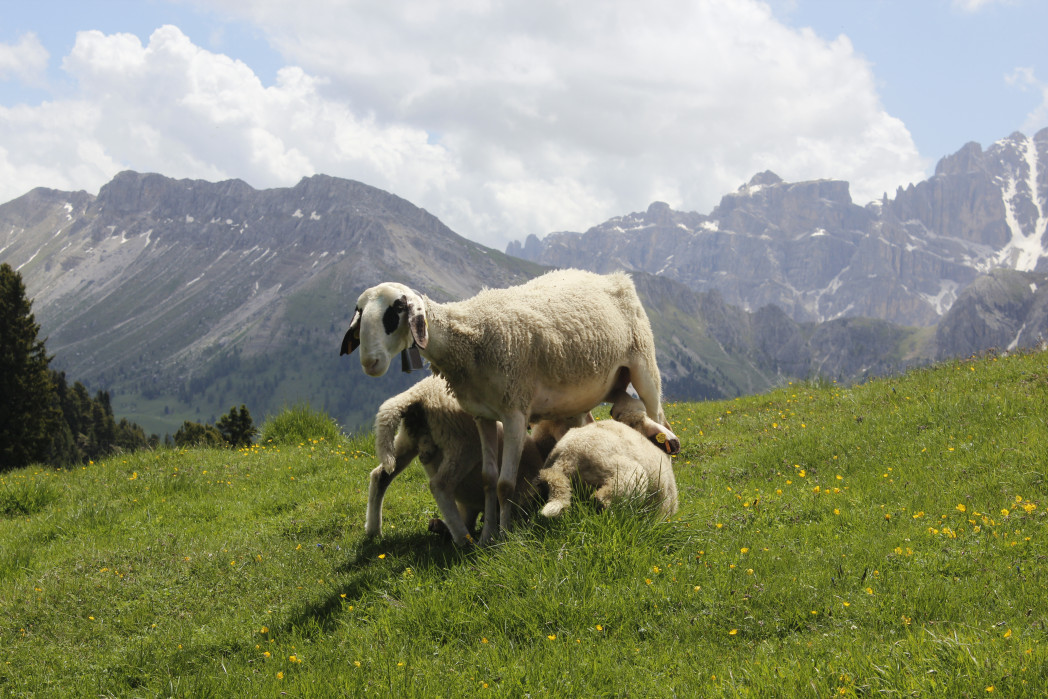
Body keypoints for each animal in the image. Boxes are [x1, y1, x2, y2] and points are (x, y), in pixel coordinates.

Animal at [367, 375, 547, 546]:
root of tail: (418, 395)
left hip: (407, 440)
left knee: (380, 475)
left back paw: (373, 530)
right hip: (462, 444)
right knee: (440, 485)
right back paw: (464, 539)